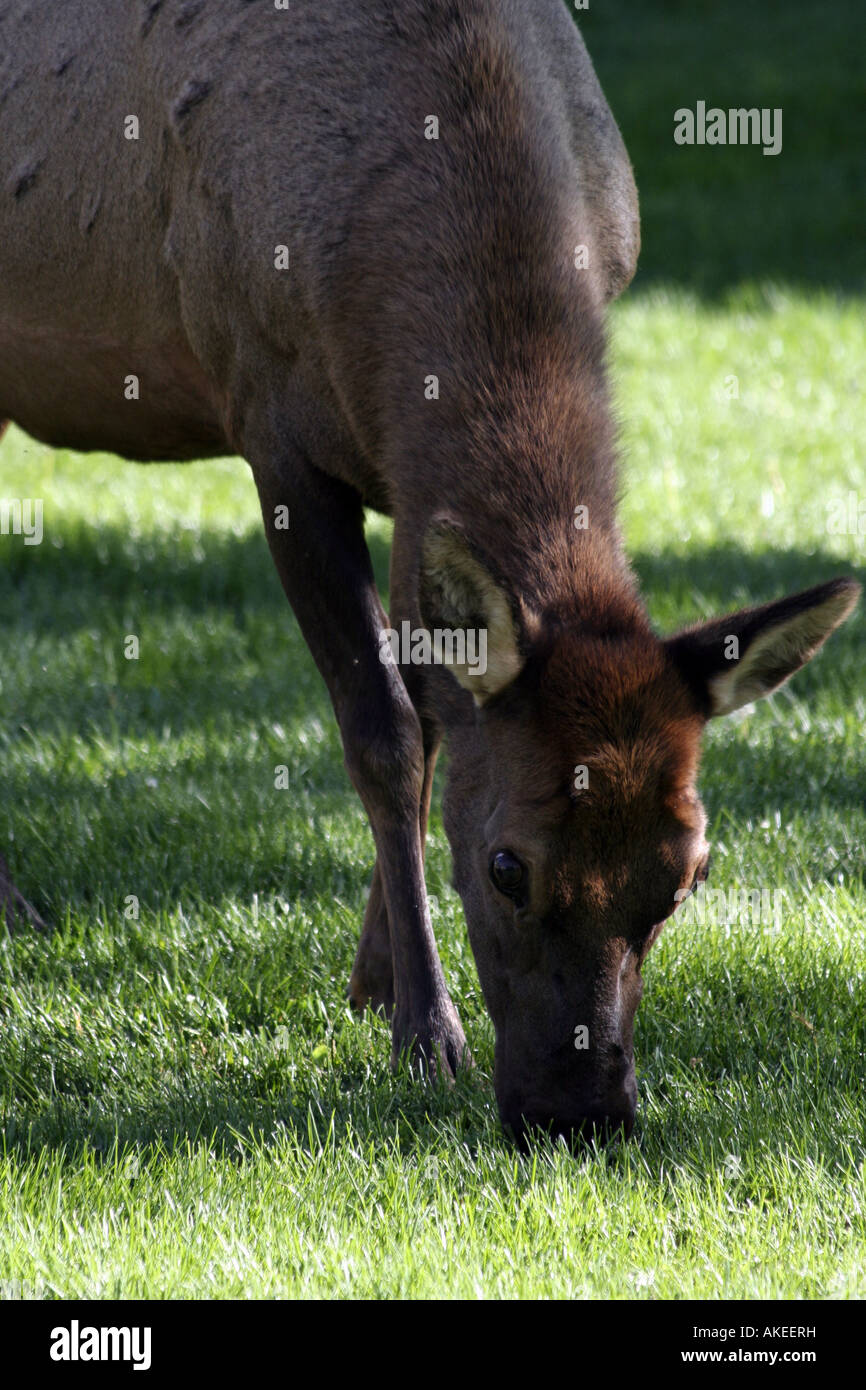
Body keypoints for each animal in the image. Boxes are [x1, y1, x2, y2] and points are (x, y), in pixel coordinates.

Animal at [0, 0, 861, 1139]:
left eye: (687, 873)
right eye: (506, 865)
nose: (581, 1111)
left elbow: (437, 710)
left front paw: (371, 980)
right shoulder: (266, 414)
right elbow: (384, 734)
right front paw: (424, 1029)